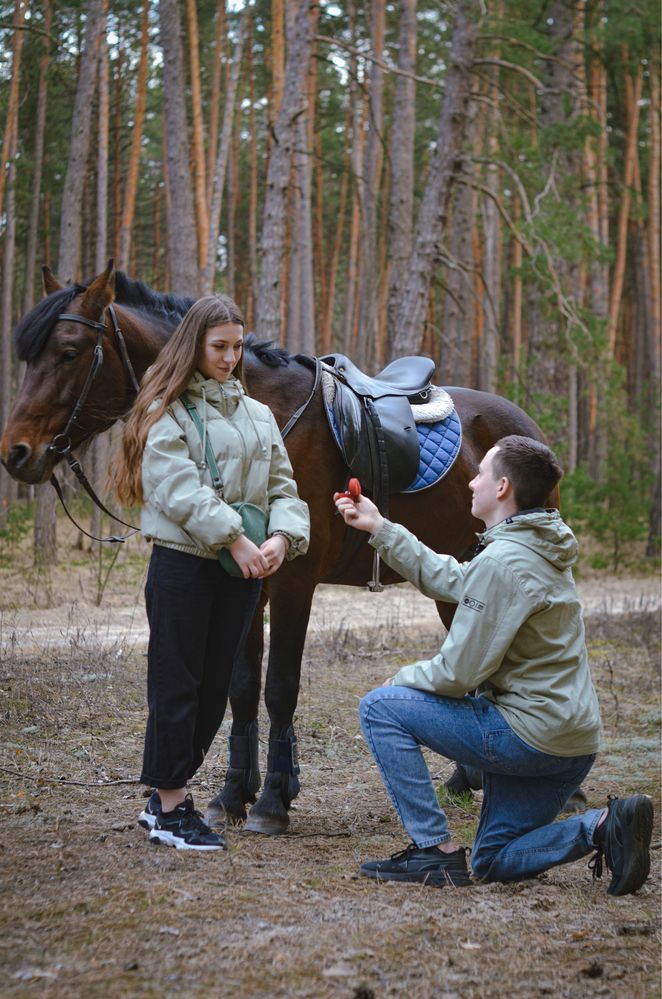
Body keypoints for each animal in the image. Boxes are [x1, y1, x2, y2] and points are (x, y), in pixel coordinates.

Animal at [2, 264, 556, 836]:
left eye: (69, 352)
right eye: (28, 356)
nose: (16, 452)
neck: (266, 412)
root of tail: (527, 425)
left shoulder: (294, 582)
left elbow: (280, 687)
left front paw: (270, 800)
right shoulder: (250, 584)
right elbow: (243, 687)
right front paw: (233, 794)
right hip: (460, 576)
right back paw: (465, 780)